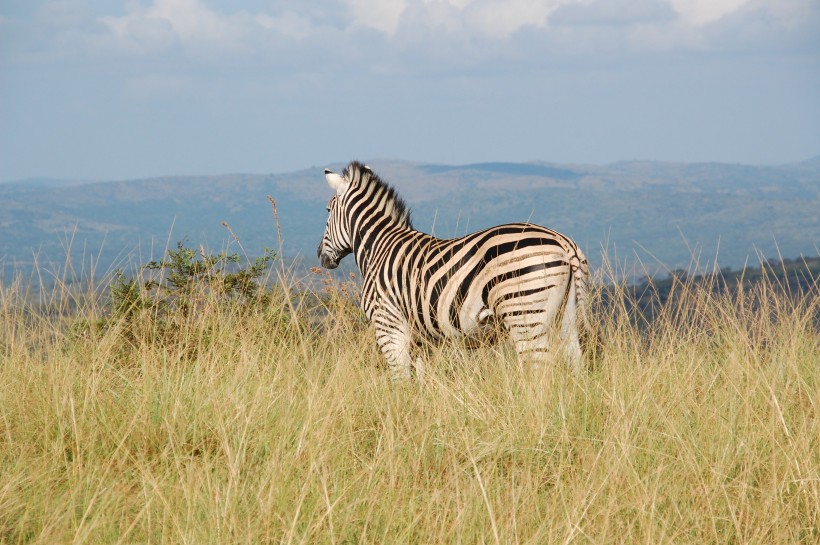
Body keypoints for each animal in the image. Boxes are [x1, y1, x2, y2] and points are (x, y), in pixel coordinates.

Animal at [316, 160, 588, 378]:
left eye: (328, 211)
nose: (320, 256)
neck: (379, 246)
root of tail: (564, 242)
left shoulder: (388, 326)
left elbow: (400, 379)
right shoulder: (420, 339)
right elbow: (420, 380)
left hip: (524, 314)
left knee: (538, 368)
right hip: (566, 317)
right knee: (574, 362)